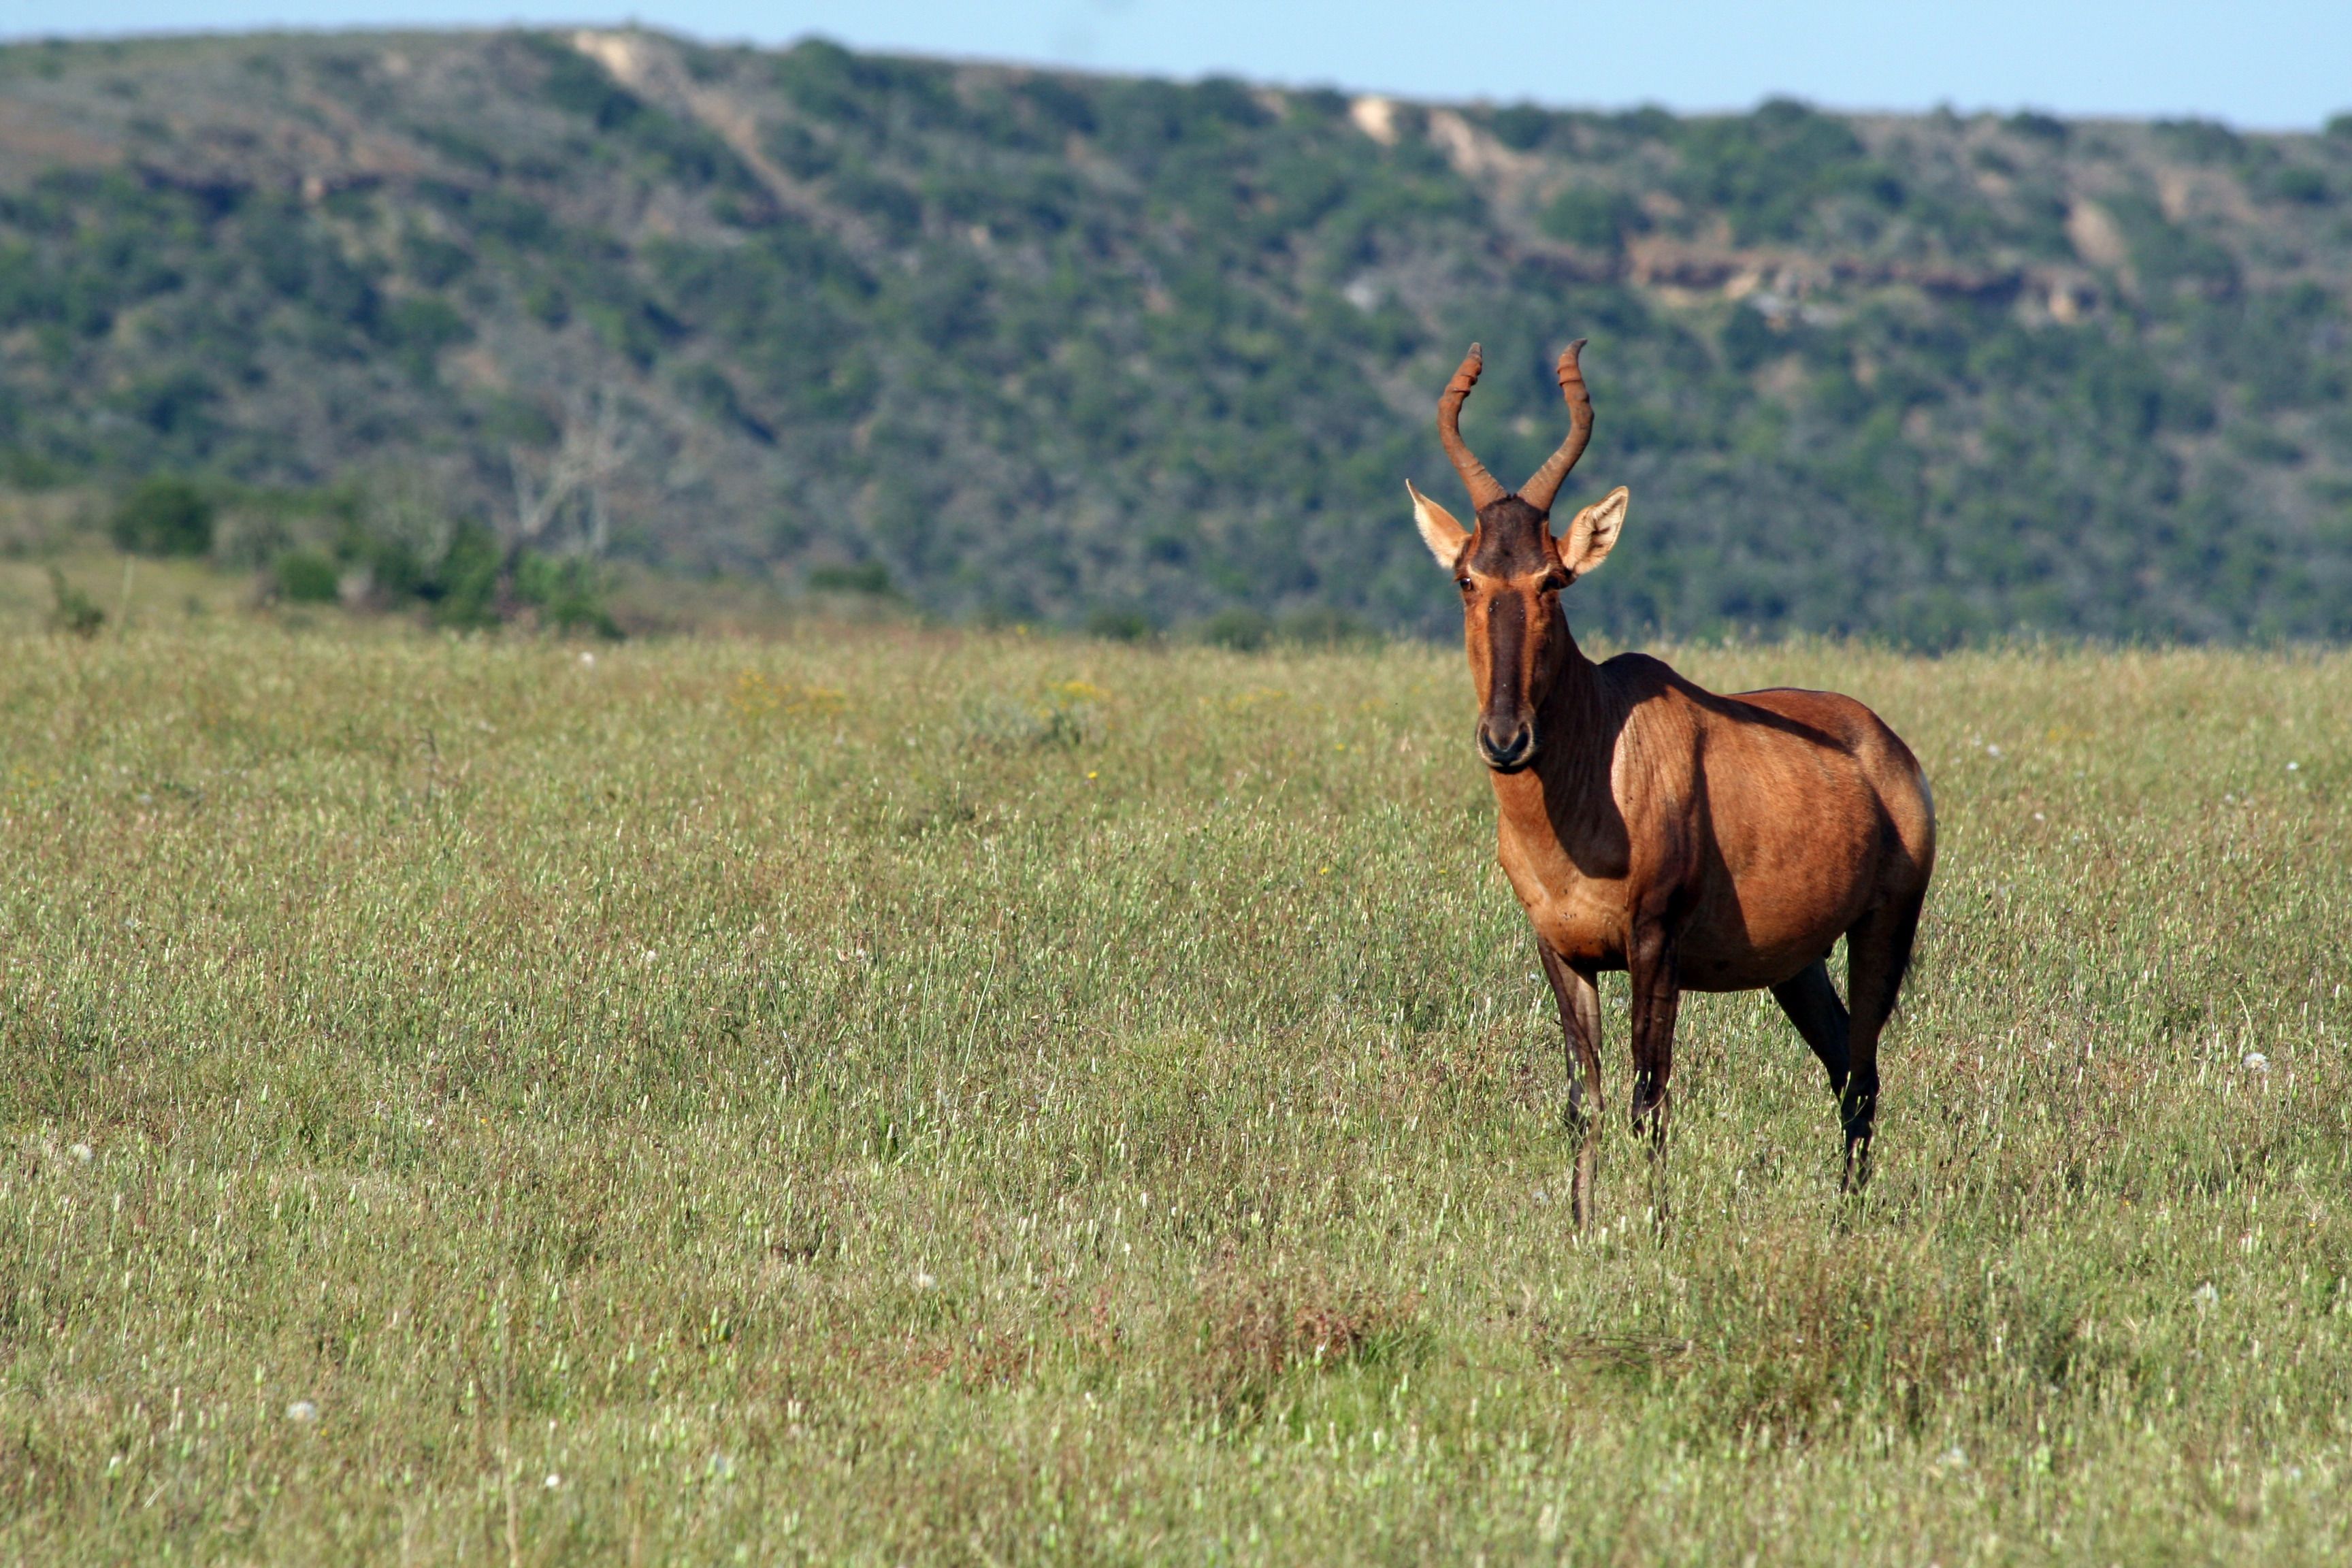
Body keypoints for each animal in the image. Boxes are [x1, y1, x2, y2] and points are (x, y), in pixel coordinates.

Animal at [1406, 341, 1936, 1227]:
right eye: (1467, 578)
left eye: (1553, 578)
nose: (1507, 740)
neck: (1599, 750)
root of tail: (1886, 747)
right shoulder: (1563, 951)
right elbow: (1582, 1100)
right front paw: (1582, 1229)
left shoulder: (1655, 944)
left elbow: (1649, 1098)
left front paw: (1652, 1229)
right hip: (1796, 964)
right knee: (1841, 1067)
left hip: (1884, 929)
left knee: (1864, 1075)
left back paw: (1847, 1219)